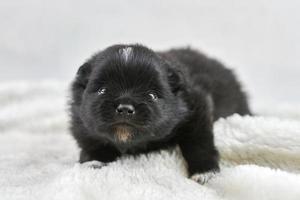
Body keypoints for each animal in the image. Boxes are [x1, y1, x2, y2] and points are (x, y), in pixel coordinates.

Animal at [69, 44, 251, 184]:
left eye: (152, 95)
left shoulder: (197, 107)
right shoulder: (82, 124)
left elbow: (199, 141)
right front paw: (94, 161)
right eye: (102, 90)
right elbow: (93, 142)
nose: (125, 108)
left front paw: (204, 171)